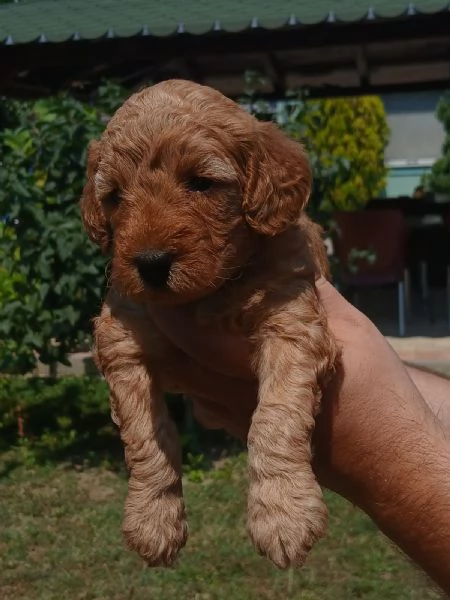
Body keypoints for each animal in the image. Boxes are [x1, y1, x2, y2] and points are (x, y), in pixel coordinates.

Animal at [81, 78, 340, 568]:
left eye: (201, 182)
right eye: (115, 197)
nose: (150, 264)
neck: (209, 294)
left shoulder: (292, 320)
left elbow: (276, 416)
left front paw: (284, 515)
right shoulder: (122, 337)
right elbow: (147, 435)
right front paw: (153, 519)